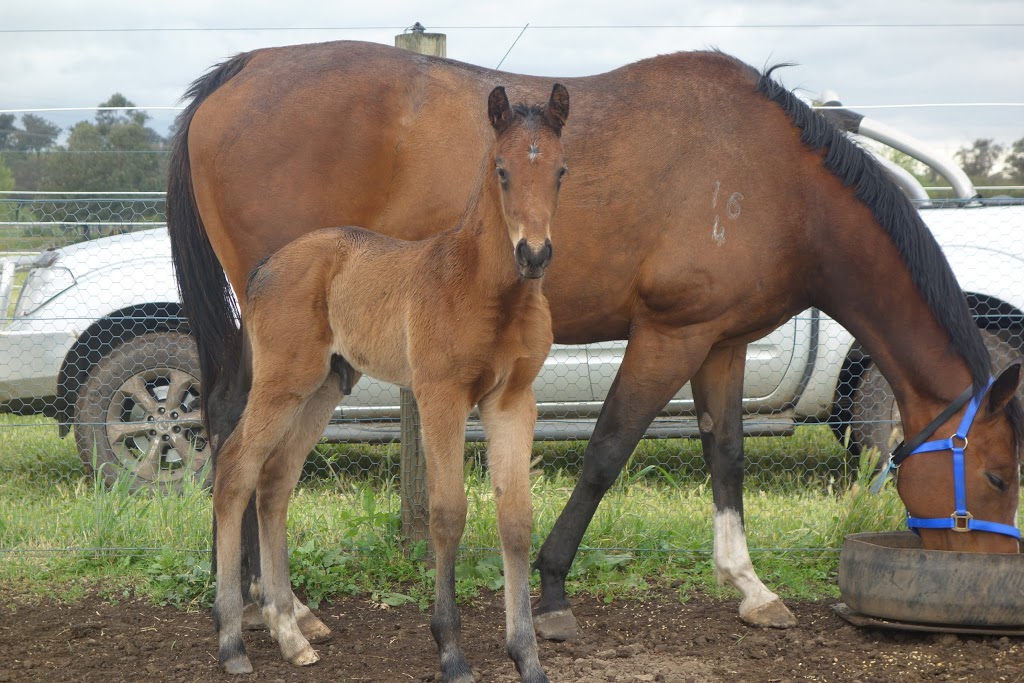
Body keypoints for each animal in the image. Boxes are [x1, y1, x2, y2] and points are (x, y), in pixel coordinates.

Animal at [211, 87, 573, 683]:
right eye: (502, 170)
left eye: (561, 170)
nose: (535, 254)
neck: (487, 290)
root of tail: (264, 267)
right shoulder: (440, 395)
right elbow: (448, 515)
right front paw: (451, 652)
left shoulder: (512, 401)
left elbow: (516, 519)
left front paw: (527, 657)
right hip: (284, 381)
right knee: (236, 467)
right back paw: (231, 643)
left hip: (326, 387)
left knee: (276, 480)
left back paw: (291, 636)